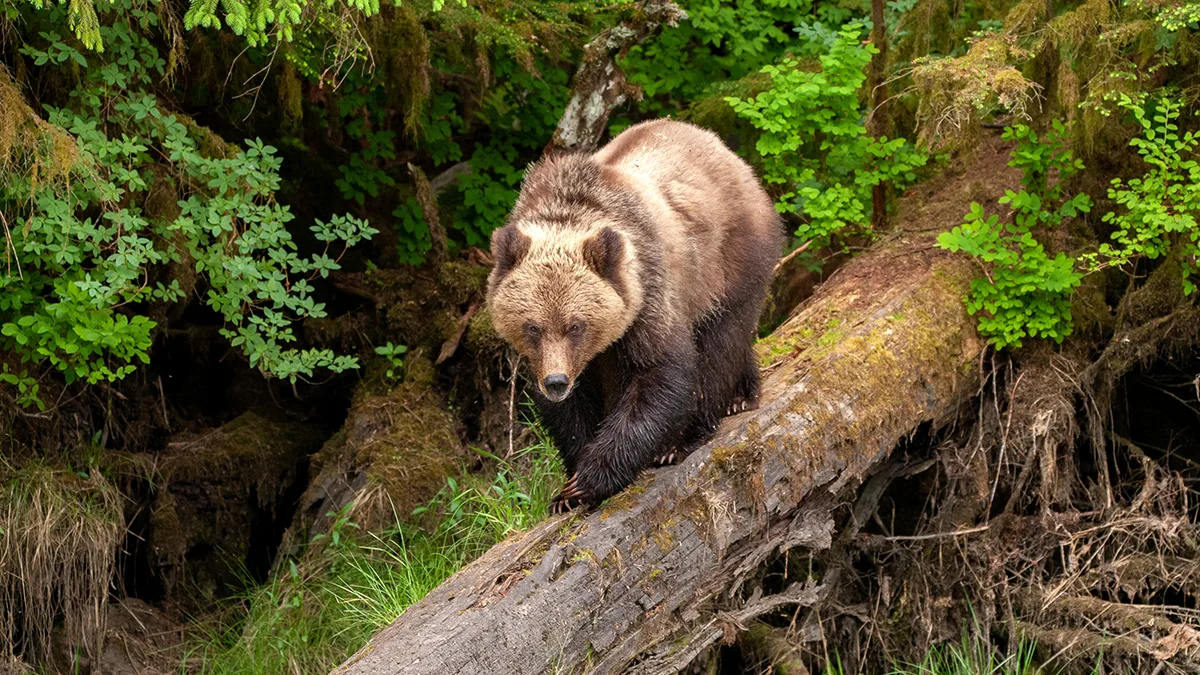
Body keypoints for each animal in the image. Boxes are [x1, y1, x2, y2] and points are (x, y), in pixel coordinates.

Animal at [486, 119, 783, 512]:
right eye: (532, 327)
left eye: (575, 325)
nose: (556, 382)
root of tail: (723, 149)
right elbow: (571, 411)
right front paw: (567, 490)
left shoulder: (647, 289)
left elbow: (661, 371)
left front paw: (591, 479)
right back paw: (744, 393)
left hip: (726, 261)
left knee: (722, 341)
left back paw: (705, 422)